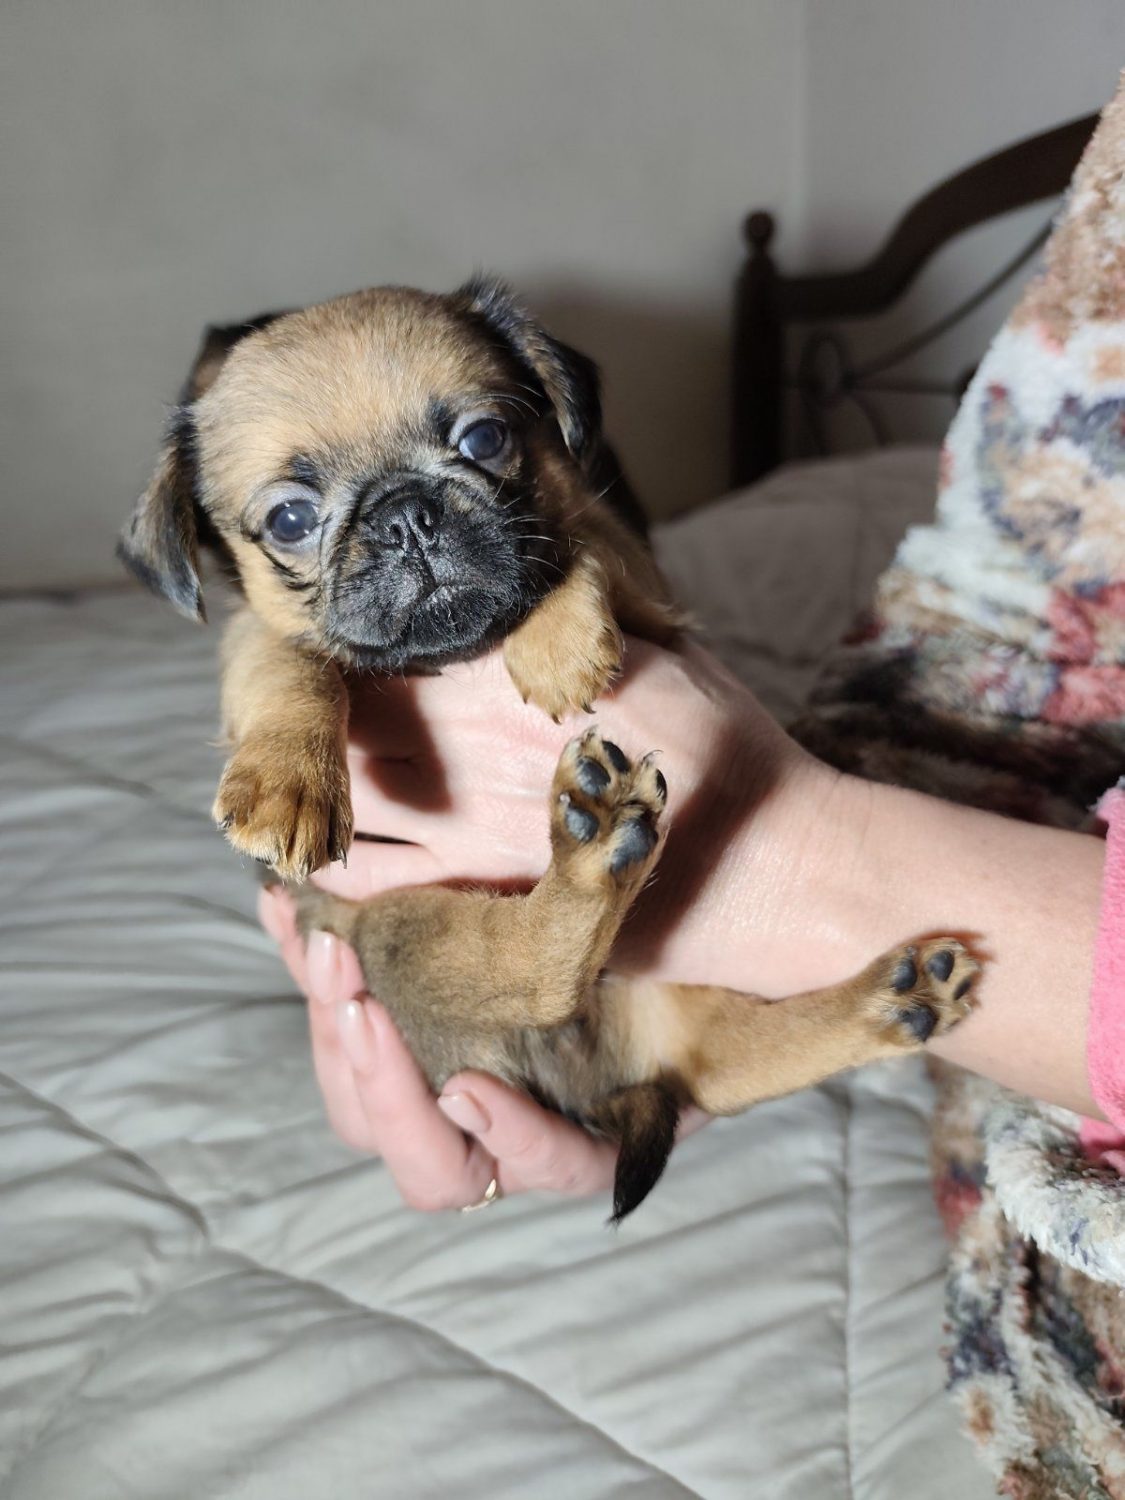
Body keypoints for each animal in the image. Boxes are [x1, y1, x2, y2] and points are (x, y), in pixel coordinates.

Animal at [119, 278, 979, 1219]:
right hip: (399, 931)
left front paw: (556, 638)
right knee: (642, 1025)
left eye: (484, 440)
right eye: (290, 519)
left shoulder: (642, 580)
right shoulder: (251, 638)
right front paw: (287, 780)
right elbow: (290, 662)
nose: (406, 514)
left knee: (680, 1039)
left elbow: (578, 543)